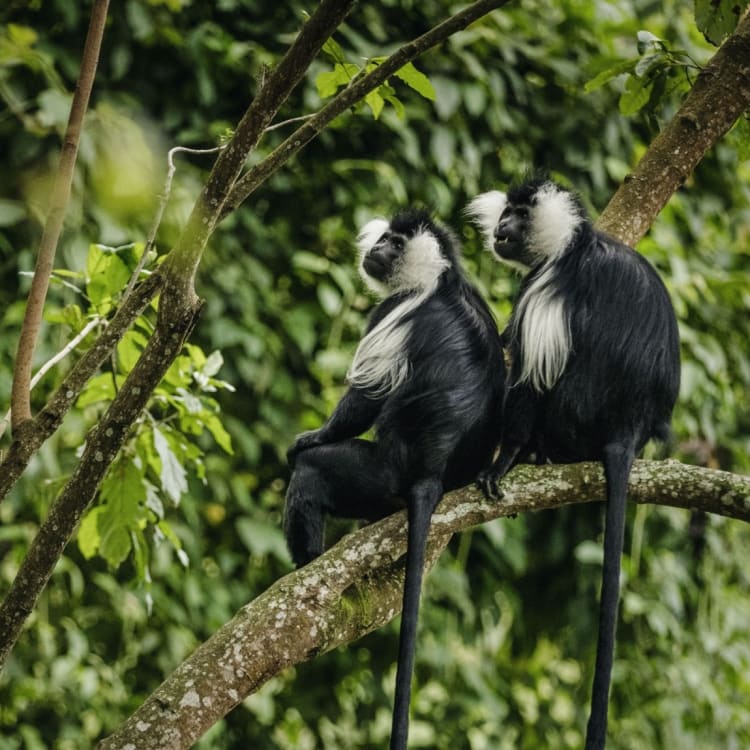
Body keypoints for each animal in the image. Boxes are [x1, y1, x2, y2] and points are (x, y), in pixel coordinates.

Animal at [284, 209, 506, 750]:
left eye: (395, 243)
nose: (377, 248)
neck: (439, 279)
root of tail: (430, 473)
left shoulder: (392, 312)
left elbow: (363, 399)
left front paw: (310, 437)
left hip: (375, 475)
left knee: (314, 474)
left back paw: (306, 563)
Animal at [466, 178, 680, 749]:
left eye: (519, 216)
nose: (500, 228)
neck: (572, 244)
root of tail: (627, 427)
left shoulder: (546, 288)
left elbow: (529, 379)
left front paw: (502, 462)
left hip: (571, 417)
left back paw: (530, 454)